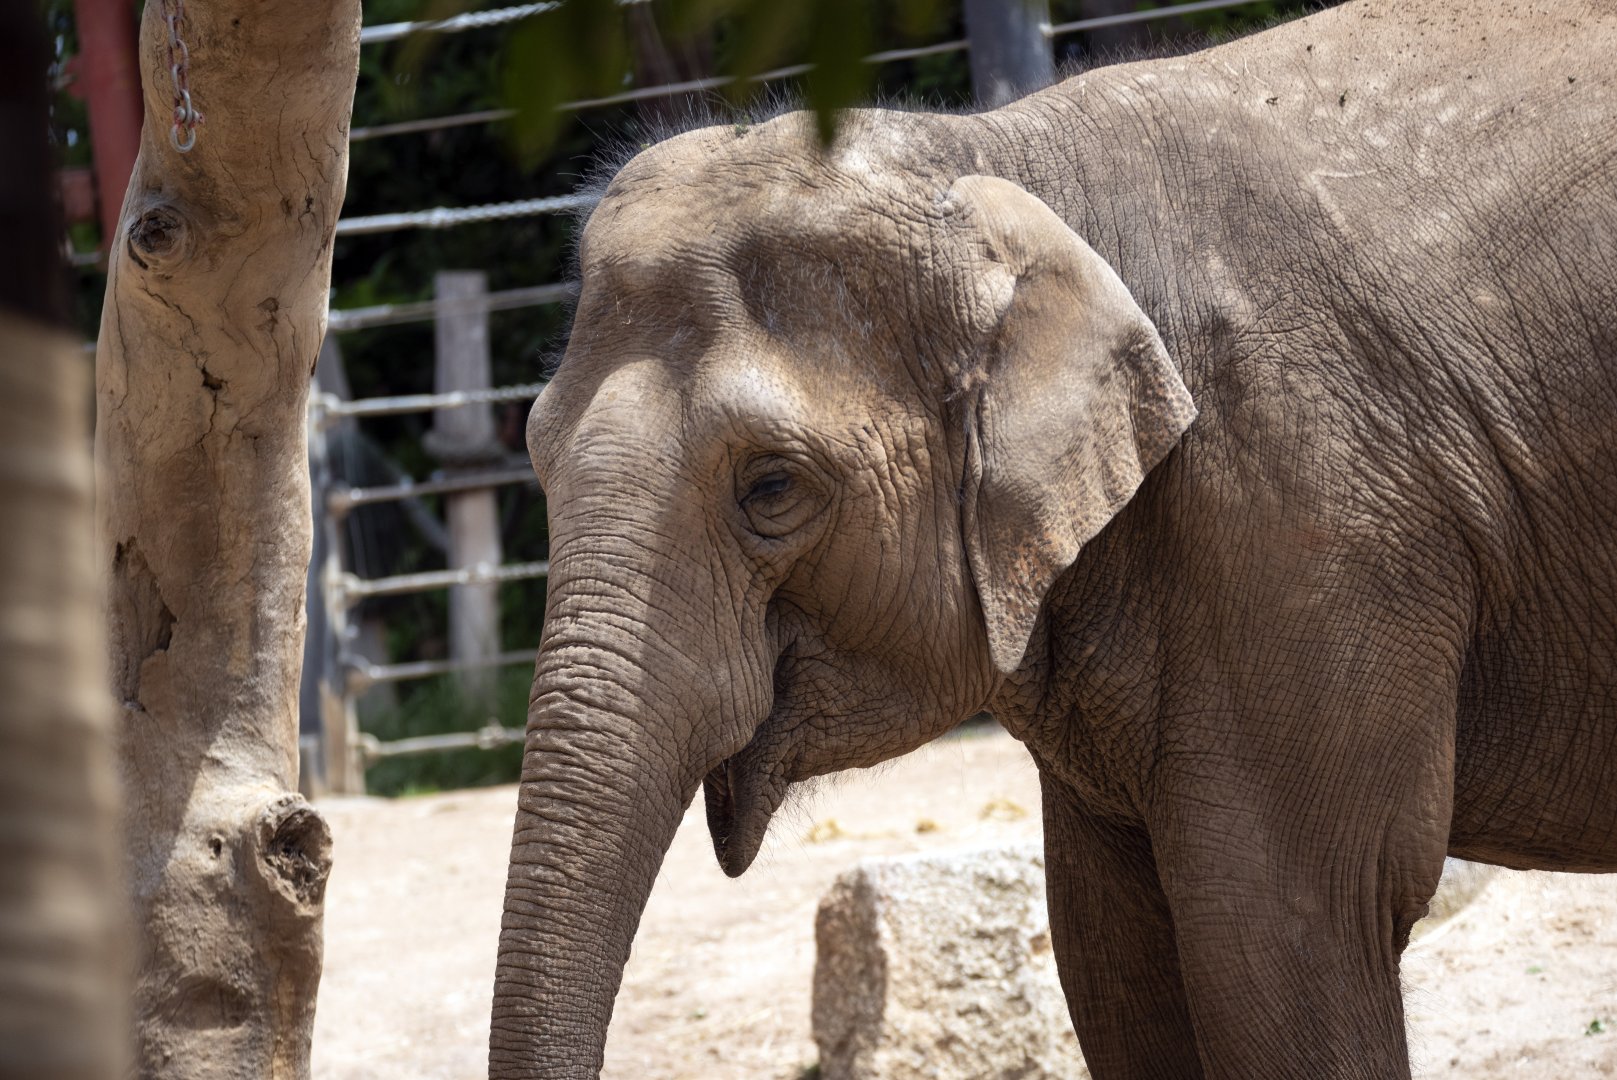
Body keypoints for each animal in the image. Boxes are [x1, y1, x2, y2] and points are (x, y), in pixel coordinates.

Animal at [490, 1, 1617, 1077]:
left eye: (771, 487)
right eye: (535, 454)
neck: (997, 158)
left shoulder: (1312, 511)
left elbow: (1288, 935)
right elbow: (1108, 953)